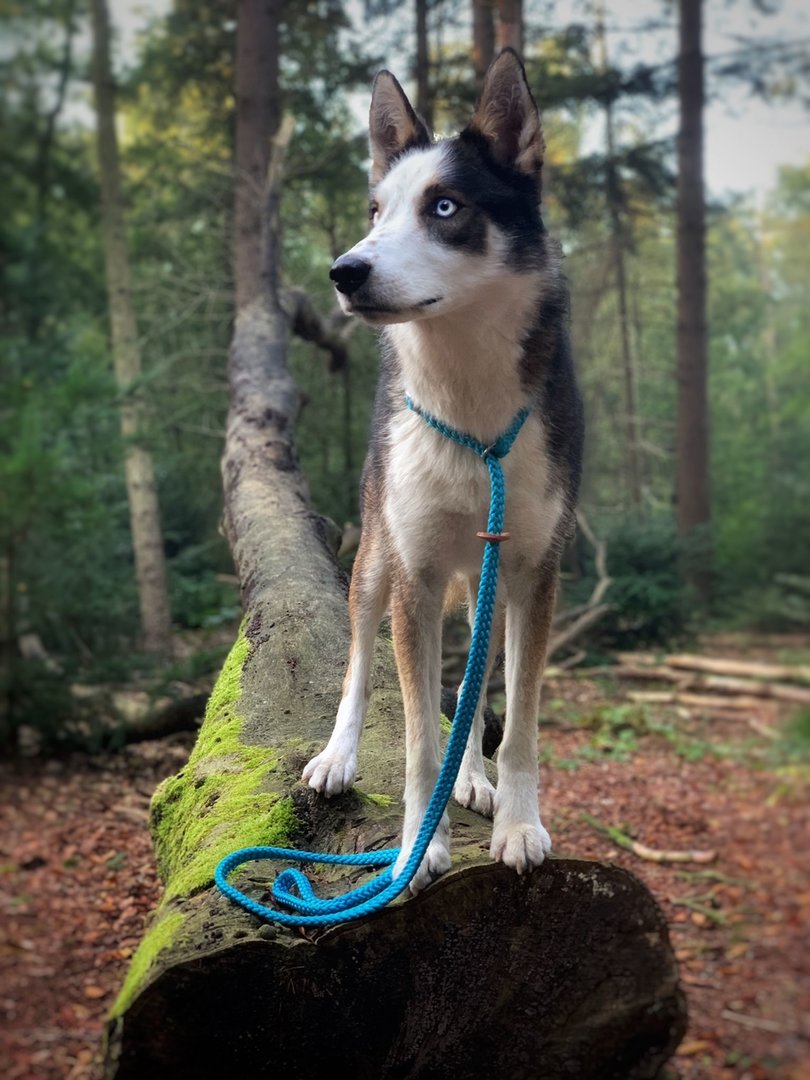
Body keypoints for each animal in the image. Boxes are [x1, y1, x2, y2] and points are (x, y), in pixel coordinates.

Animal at [303, 49, 583, 895]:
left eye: (447, 207)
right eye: (374, 210)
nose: (344, 271)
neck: (469, 409)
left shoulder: (532, 571)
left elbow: (516, 724)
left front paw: (518, 823)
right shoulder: (416, 575)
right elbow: (421, 738)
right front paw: (414, 849)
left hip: (484, 579)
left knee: (472, 681)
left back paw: (476, 780)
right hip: (373, 562)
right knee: (358, 666)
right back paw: (337, 756)